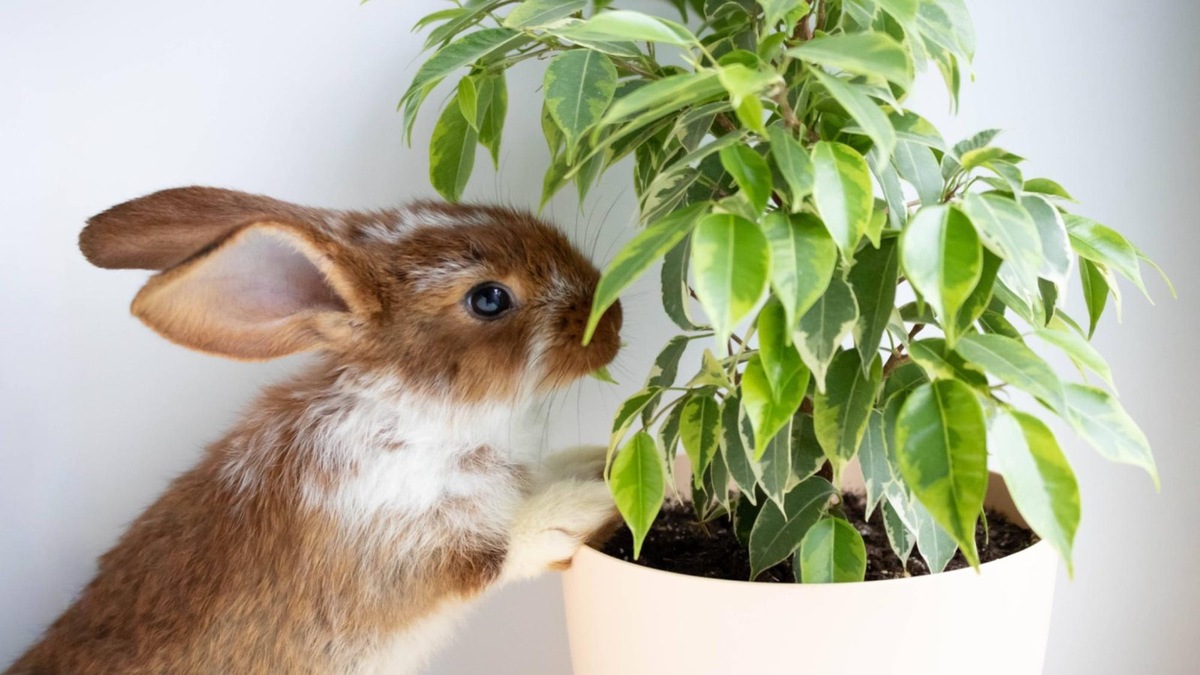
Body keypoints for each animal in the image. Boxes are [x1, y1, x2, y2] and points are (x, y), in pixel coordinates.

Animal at [5, 186, 624, 675]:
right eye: (489, 298)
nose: (613, 320)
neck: (420, 408)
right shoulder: (405, 546)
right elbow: (504, 548)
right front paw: (582, 507)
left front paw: (600, 464)